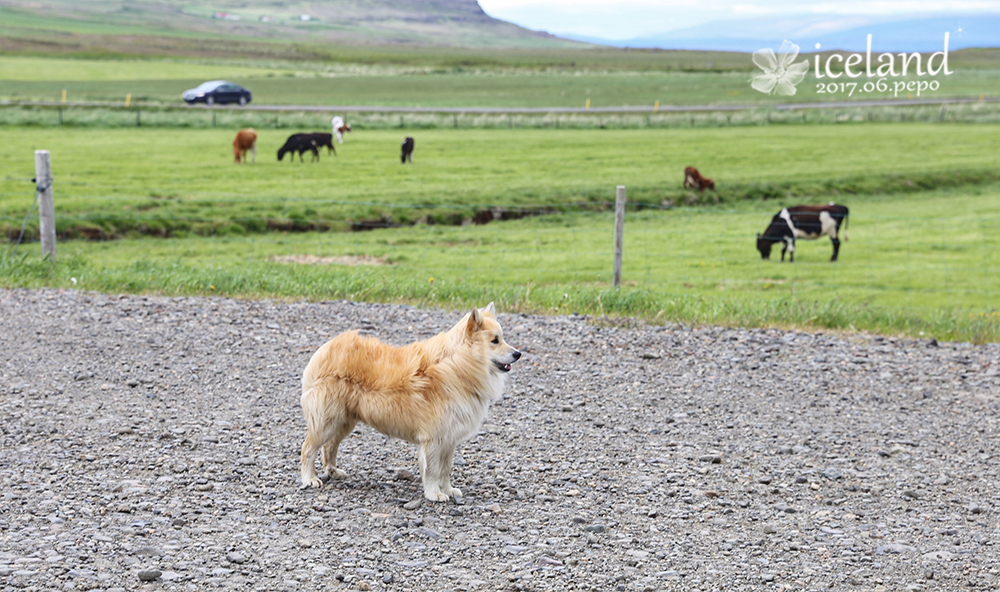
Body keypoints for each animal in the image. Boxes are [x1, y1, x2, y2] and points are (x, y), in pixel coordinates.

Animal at [298, 302, 520, 502]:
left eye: (502, 338)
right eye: (495, 341)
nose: (518, 353)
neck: (458, 365)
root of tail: (326, 349)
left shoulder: (449, 439)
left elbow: (446, 469)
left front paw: (448, 490)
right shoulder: (433, 439)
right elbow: (433, 471)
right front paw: (434, 494)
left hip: (343, 421)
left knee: (330, 446)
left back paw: (333, 471)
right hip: (326, 421)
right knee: (308, 448)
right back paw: (309, 478)